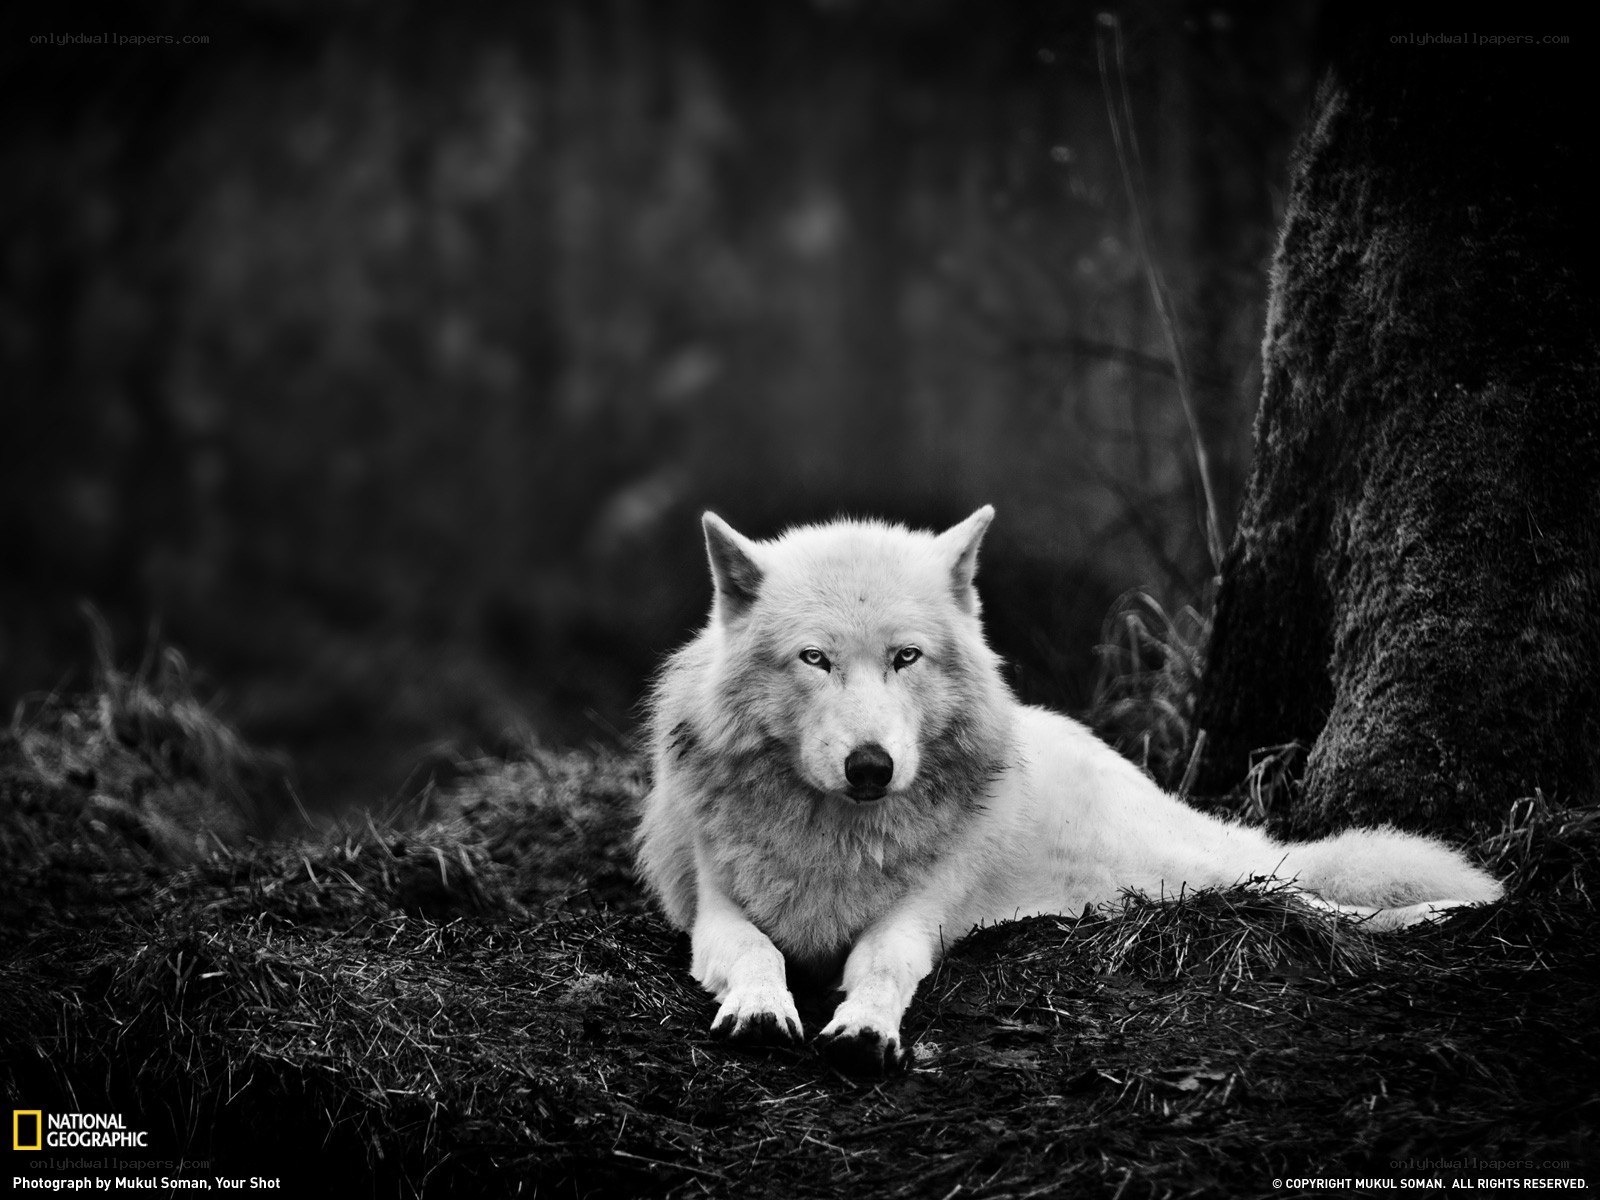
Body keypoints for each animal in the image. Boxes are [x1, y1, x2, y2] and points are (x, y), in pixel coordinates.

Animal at [635, 507, 1503, 1074]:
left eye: (906, 658)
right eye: (814, 659)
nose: (871, 767)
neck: (837, 836)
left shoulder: (916, 918)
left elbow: (882, 964)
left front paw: (866, 1029)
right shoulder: (715, 912)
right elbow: (755, 951)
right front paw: (760, 1007)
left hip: (1191, 873)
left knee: (1306, 894)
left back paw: (1450, 910)